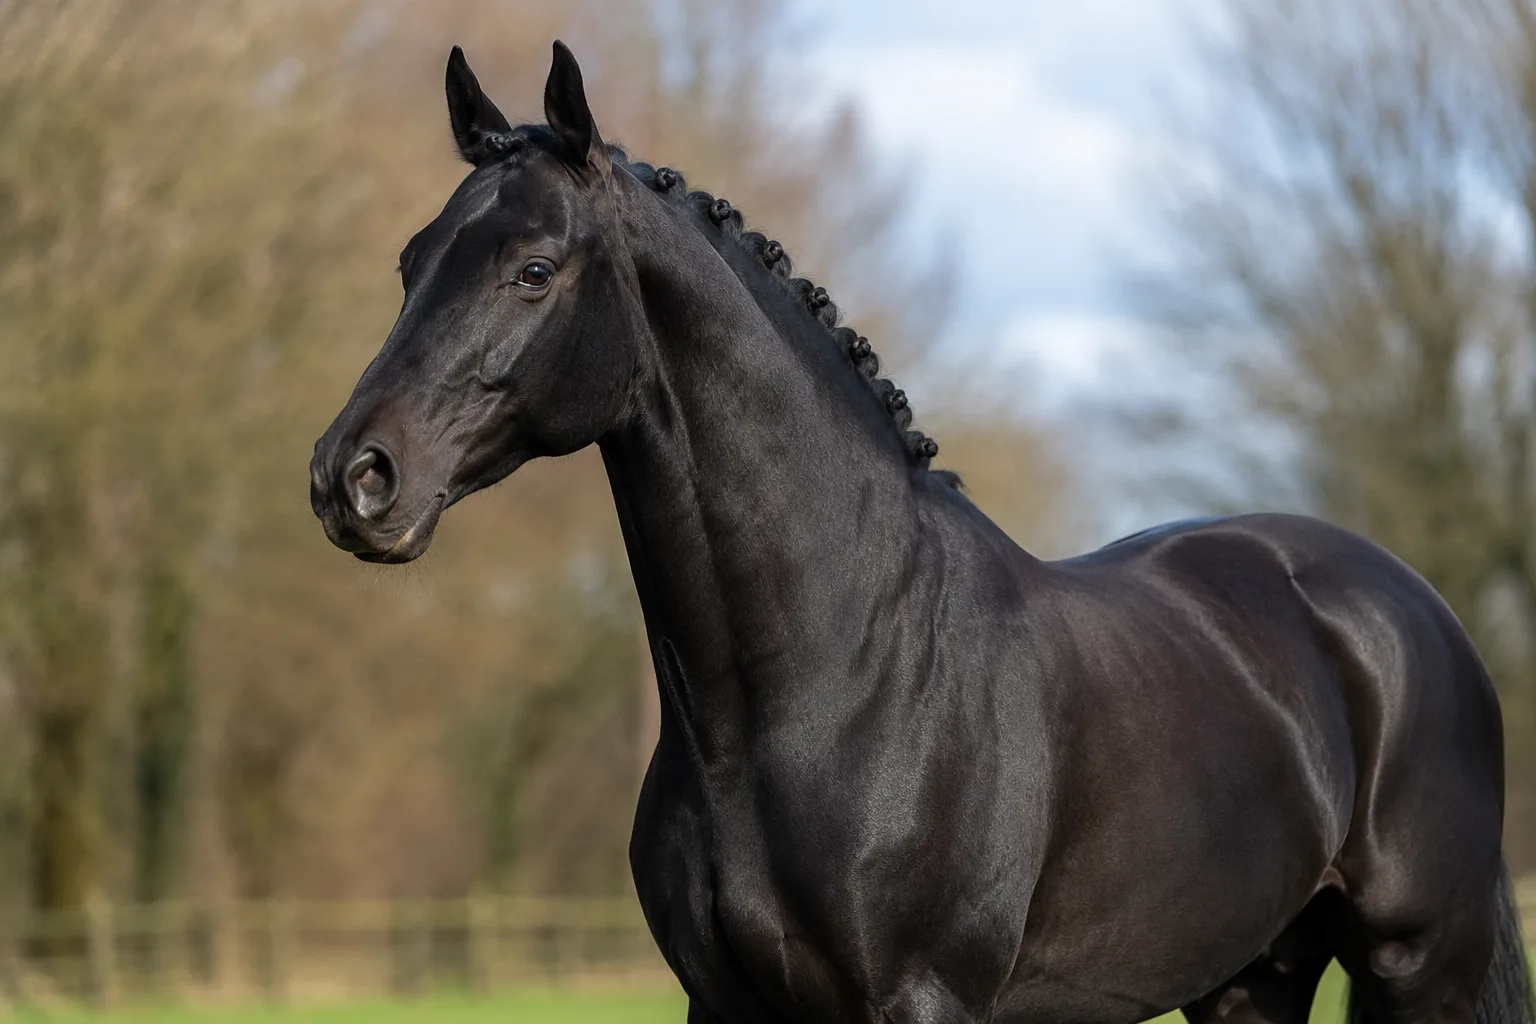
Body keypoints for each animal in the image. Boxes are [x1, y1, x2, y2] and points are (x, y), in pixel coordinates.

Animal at [308, 41, 1536, 1024]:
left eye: (533, 270)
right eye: (412, 262)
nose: (352, 477)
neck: (834, 681)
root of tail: (1415, 613)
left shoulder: (920, 1000)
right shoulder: (722, 1003)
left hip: (1418, 965)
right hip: (1251, 980)